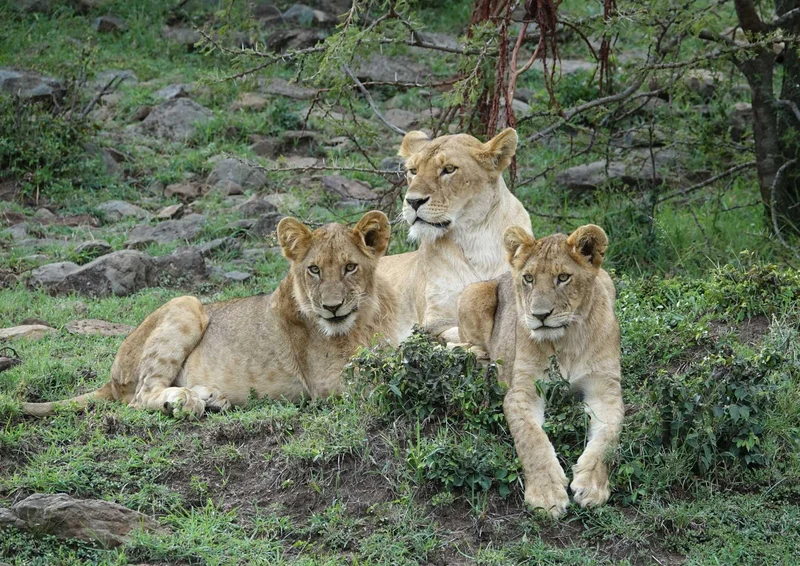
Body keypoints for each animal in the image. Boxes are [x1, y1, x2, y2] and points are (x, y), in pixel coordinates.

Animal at [22, 211, 398, 418]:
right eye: (314, 270)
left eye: (350, 267)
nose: (332, 307)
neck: (361, 321)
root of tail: (111, 378)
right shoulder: (327, 382)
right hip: (187, 304)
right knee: (142, 396)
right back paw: (185, 401)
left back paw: (210, 396)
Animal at [379, 128, 532, 342]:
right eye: (413, 171)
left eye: (449, 169)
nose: (413, 201)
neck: (476, 236)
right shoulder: (433, 322)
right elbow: (459, 330)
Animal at [454, 224, 624, 518]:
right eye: (529, 278)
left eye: (563, 277)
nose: (539, 315)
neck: (567, 341)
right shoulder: (523, 389)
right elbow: (531, 439)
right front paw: (546, 494)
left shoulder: (606, 390)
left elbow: (608, 439)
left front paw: (592, 486)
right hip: (472, 294)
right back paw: (478, 355)